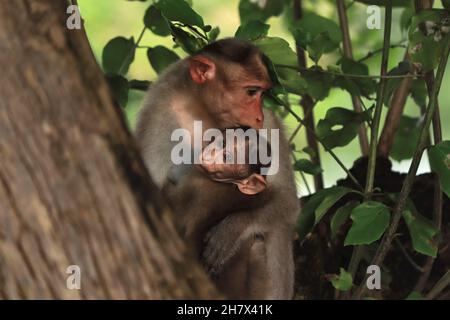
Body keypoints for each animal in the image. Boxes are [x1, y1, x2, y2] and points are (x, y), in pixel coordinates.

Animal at [137, 38, 298, 298]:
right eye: (251, 92)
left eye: (262, 93)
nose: (259, 117)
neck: (204, 111)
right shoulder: (160, 107)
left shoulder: (269, 126)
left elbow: (287, 201)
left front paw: (231, 230)